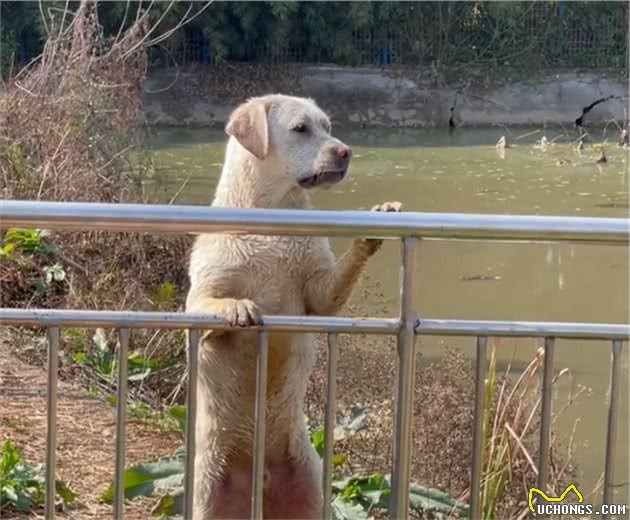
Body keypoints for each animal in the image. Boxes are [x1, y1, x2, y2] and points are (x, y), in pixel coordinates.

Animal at [186, 95, 400, 516]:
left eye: (328, 125)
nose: (345, 151)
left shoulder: (319, 292)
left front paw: (372, 228)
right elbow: (212, 302)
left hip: (309, 487)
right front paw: (238, 307)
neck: (273, 220)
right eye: (301, 128)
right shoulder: (197, 296)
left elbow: (331, 287)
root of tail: (260, 481)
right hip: (206, 493)